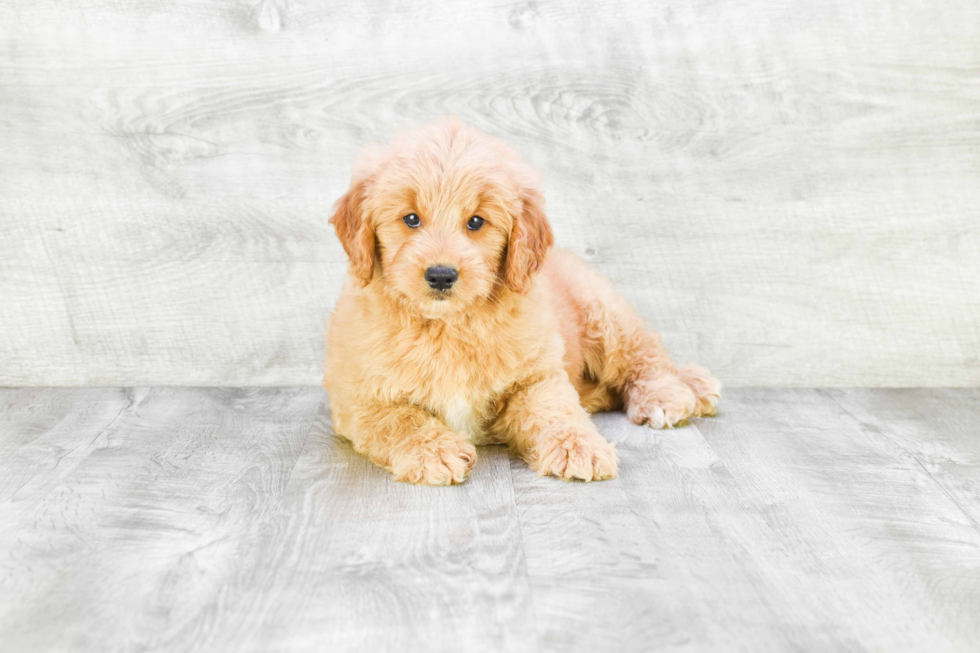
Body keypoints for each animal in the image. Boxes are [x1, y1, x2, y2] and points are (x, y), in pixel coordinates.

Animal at [326, 118, 716, 484]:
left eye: (476, 222)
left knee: (644, 353)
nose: (441, 275)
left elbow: (553, 408)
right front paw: (433, 451)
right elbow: (398, 419)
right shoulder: (358, 397)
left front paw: (578, 447)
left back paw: (669, 394)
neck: (448, 326)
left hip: (604, 312)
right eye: (410, 219)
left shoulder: (536, 375)